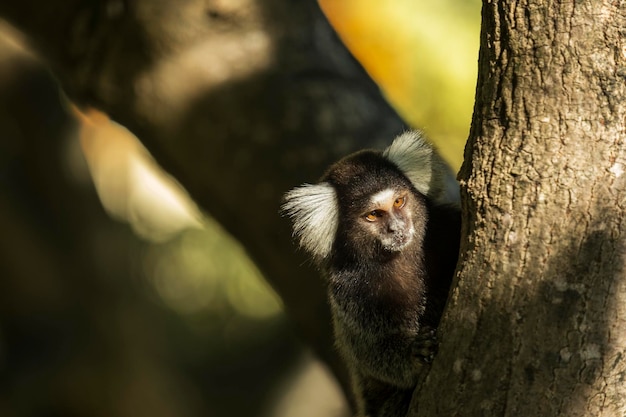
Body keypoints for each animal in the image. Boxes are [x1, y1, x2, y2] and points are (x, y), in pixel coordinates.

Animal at [280, 131, 460, 416]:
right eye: (374, 215)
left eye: (399, 201)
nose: (397, 228)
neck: (402, 258)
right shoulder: (350, 292)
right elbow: (368, 351)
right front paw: (414, 353)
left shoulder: (448, 224)